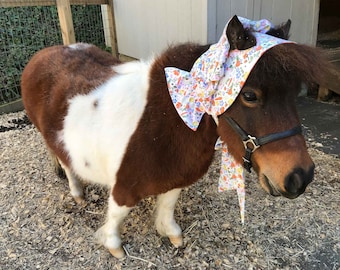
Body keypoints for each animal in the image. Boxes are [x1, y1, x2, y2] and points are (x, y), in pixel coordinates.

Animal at [21, 16, 330, 258]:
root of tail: (42, 54)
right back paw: (77, 193)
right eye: (250, 96)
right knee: (66, 164)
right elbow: (117, 215)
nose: (300, 176)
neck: (165, 122)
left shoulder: (175, 177)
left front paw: (171, 234)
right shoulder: (124, 187)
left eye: (295, 93)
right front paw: (114, 246)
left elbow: (168, 205)